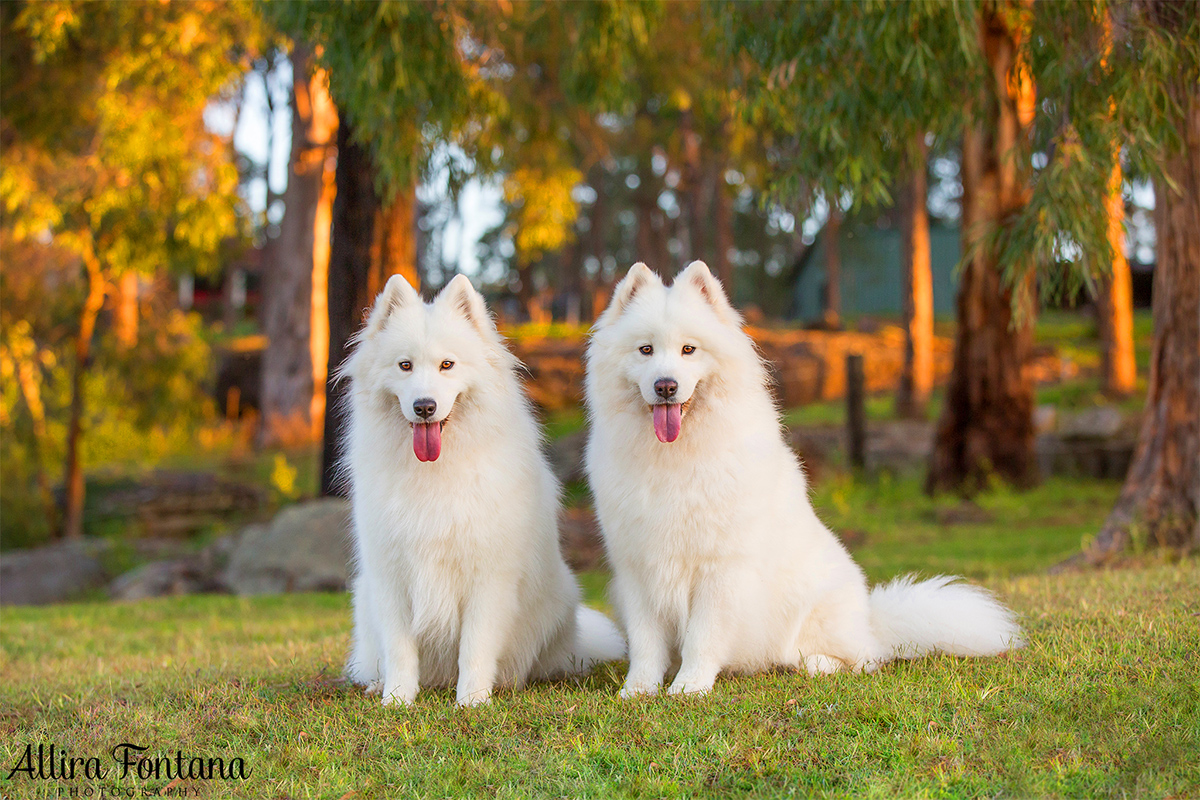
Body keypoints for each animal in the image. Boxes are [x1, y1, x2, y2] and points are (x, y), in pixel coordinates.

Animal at [343, 273, 624, 705]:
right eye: (405, 366)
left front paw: (472, 700)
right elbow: (400, 648)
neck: (437, 471)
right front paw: (397, 699)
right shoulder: (391, 575)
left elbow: (475, 646)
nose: (424, 406)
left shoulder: (487, 577)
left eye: (447, 364)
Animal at [585, 263, 1017, 700]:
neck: (673, 457)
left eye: (689, 350)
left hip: (819, 609)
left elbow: (702, 637)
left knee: (865, 659)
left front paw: (690, 687)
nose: (666, 386)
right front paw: (638, 690)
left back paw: (811, 663)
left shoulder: (719, 570)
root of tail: (874, 621)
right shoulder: (638, 569)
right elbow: (645, 642)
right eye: (645, 350)